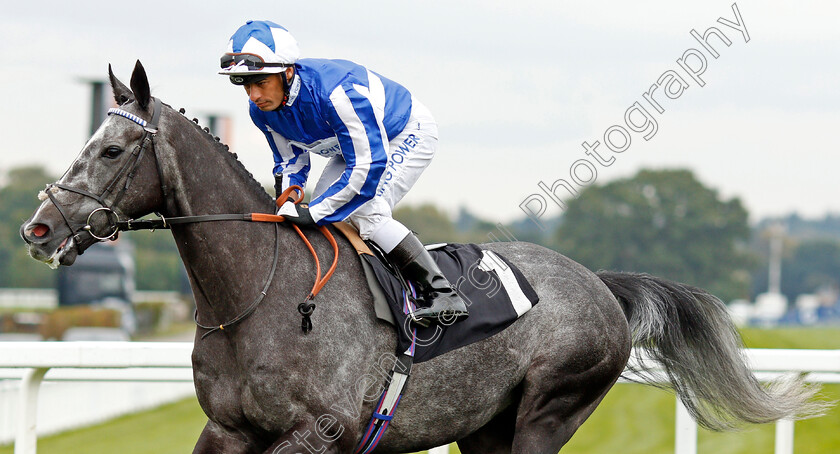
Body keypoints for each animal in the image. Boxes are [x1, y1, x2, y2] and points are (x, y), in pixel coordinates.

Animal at [18, 62, 820, 452]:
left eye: (112, 150)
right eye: (88, 141)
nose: (39, 228)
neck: (256, 297)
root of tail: (597, 282)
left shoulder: (322, 433)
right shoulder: (228, 431)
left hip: (549, 412)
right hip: (487, 430)